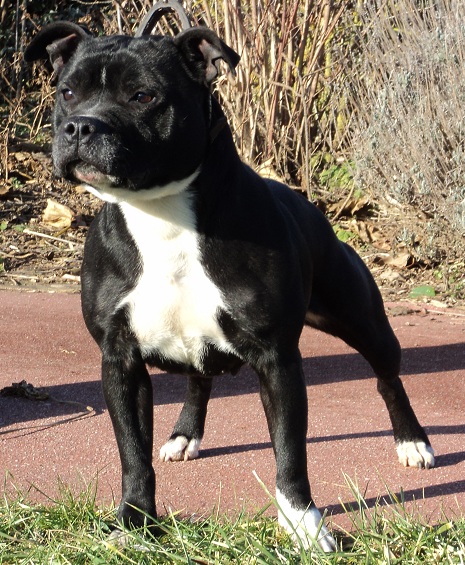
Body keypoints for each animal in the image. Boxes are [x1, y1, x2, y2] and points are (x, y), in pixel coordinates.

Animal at [25, 21, 435, 552]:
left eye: (143, 95)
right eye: (68, 93)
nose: (79, 125)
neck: (160, 215)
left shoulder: (277, 361)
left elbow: (290, 453)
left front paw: (303, 525)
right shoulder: (121, 359)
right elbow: (132, 453)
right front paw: (136, 522)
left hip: (361, 320)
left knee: (388, 377)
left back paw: (412, 442)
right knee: (199, 380)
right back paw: (184, 434)